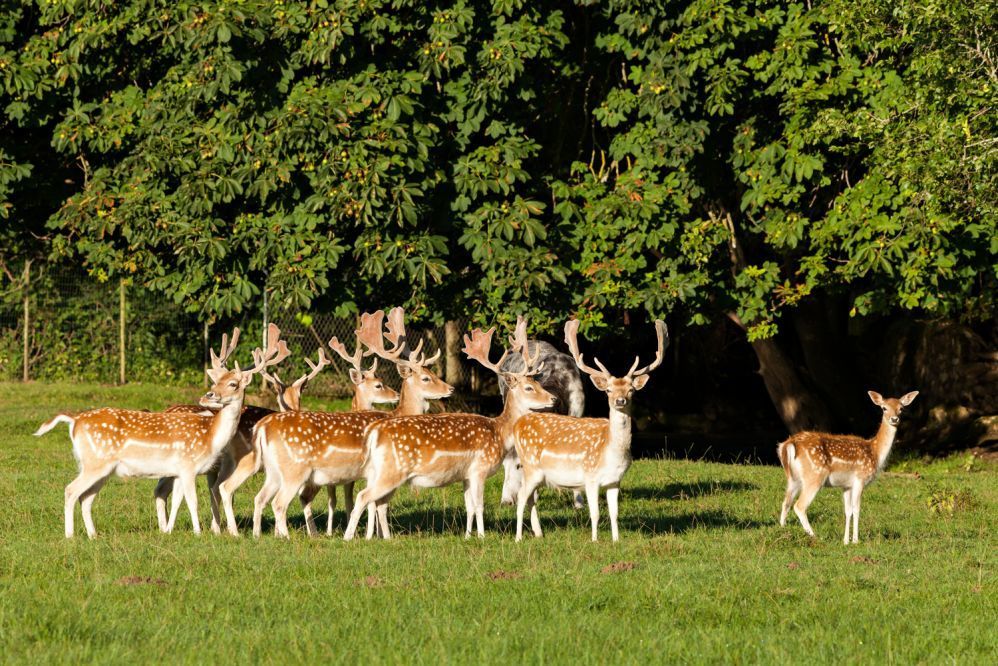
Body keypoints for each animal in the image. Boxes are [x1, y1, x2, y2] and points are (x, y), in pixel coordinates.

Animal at [33, 330, 288, 536]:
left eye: (233, 383)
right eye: (216, 382)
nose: (210, 395)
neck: (210, 437)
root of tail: (74, 420)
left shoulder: (178, 471)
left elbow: (178, 500)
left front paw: (170, 531)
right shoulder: (187, 465)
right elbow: (193, 501)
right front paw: (198, 533)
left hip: (101, 468)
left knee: (85, 498)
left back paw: (93, 535)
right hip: (95, 463)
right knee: (70, 491)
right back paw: (70, 536)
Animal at [254, 306, 454, 536]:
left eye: (433, 373)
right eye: (426, 378)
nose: (450, 388)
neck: (399, 413)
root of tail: (263, 427)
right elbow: (373, 503)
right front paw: (371, 535)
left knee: (265, 498)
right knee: (288, 499)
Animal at [346, 316, 560, 540]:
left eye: (538, 383)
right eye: (529, 388)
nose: (553, 398)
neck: (500, 433)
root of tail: (374, 433)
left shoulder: (465, 475)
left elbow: (469, 507)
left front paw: (468, 535)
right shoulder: (479, 468)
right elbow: (480, 505)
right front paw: (482, 537)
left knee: (375, 501)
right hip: (392, 470)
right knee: (363, 497)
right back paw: (349, 537)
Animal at [512, 316, 668, 540]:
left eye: (631, 390)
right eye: (608, 390)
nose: (620, 400)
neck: (611, 453)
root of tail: (518, 424)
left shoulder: (615, 481)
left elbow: (614, 513)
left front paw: (616, 540)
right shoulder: (591, 477)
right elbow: (595, 513)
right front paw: (594, 540)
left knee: (530, 498)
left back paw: (537, 533)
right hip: (531, 466)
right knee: (521, 497)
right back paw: (518, 537)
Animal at [780, 390, 920, 540]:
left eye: (901, 408)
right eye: (884, 408)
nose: (894, 419)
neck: (875, 453)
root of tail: (788, 444)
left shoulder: (846, 485)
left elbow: (847, 511)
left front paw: (846, 540)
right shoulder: (860, 478)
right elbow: (856, 509)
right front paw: (856, 540)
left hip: (793, 478)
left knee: (786, 502)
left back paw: (783, 529)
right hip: (814, 475)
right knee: (799, 506)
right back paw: (814, 535)